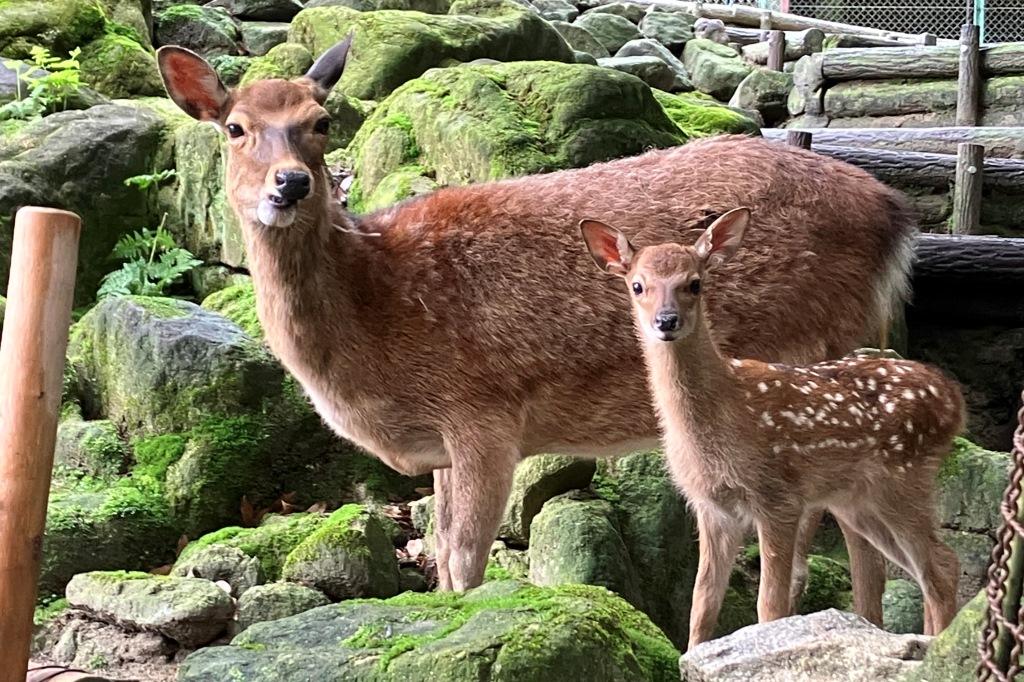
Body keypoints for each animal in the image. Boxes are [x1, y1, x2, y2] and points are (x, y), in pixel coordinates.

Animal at [155, 37, 917, 614]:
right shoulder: (443, 449)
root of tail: (896, 217)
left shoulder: (484, 413)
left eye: (320, 121)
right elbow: (440, 552)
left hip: (833, 351)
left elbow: (466, 558)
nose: (291, 183)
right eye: (234, 128)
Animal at [585, 209, 958, 647]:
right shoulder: (711, 507)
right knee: (923, 570)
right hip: (858, 503)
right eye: (637, 285)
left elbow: (770, 605)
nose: (666, 321)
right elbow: (701, 606)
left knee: (943, 566)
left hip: (904, 478)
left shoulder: (779, 496)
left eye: (694, 283)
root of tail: (953, 400)